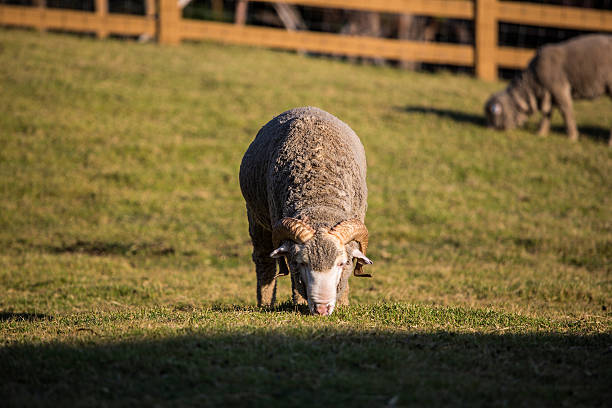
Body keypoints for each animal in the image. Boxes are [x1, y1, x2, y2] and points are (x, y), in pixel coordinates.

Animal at [239, 106, 372, 316]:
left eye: (341, 263)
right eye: (301, 263)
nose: (322, 308)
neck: (320, 195)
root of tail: (306, 107)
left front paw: (343, 303)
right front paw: (300, 303)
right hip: (256, 218)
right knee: (264, 263)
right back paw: (266, 303)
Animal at [482, 34, 612, 145]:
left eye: (492, 115)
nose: (488, 130)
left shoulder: (559, 89)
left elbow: (566, 112)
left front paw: (572, 136)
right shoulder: (549, 93)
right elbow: (547, 113)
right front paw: (541, 133)